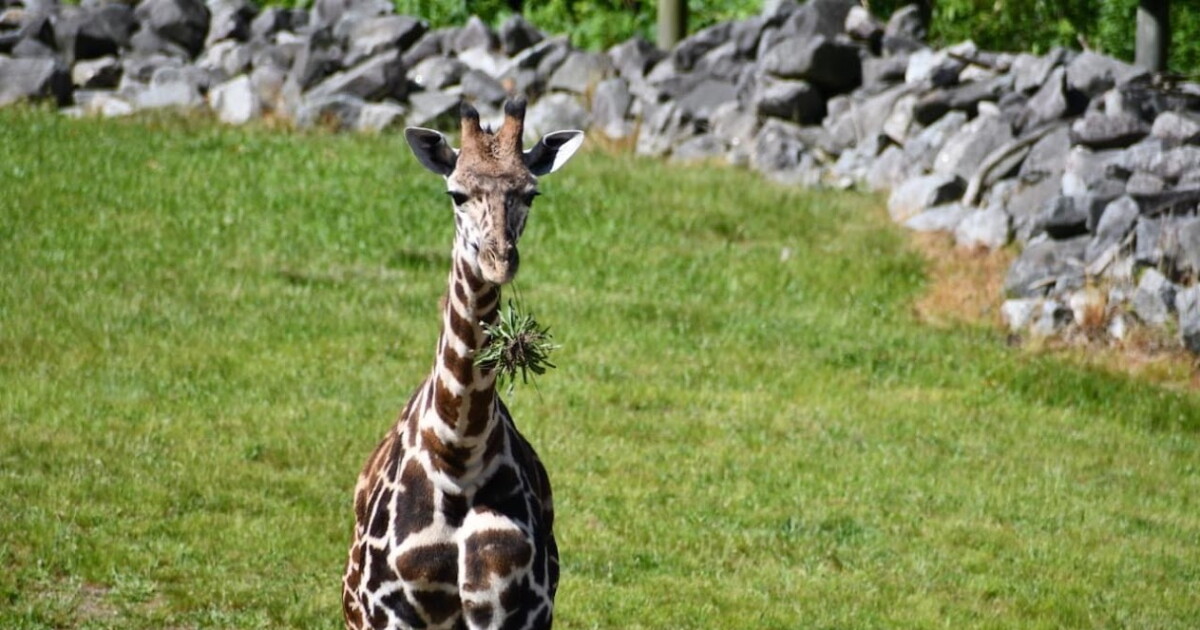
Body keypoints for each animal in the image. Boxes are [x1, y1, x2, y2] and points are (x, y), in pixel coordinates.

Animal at [341, 98, 584, 630]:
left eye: (530, 193)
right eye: (456, 193)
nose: (499, 261)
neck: (459, 451)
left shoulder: (512, 610)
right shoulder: (390, 610)